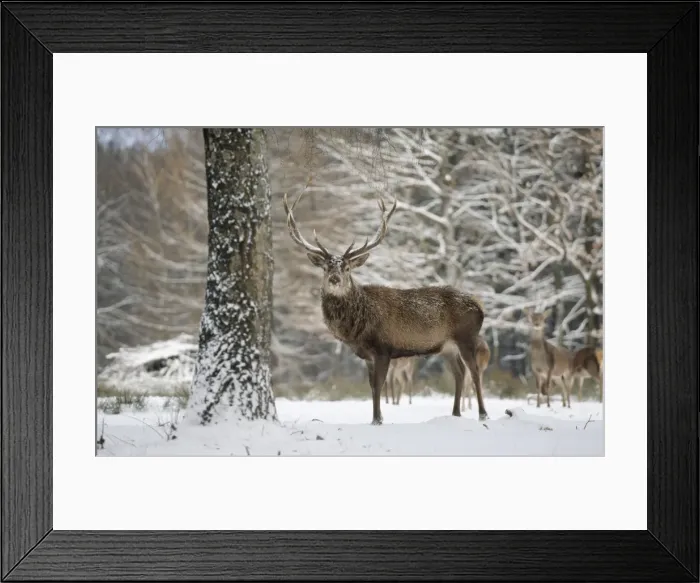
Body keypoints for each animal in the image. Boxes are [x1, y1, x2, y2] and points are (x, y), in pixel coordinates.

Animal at [283, 190, 489, 425]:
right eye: (326, 267)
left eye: (347, 268)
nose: (335, 279)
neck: (358, 328)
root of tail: (480, 307)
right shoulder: (368, 355)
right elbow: (371, 386)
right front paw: (377, 417)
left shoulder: (383, 348)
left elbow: (378, 384)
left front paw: (377, 419)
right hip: (447, 347)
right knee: (460, 373)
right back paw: (455, 413)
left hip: (466, 337)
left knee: (474, 372)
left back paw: (483, 413)